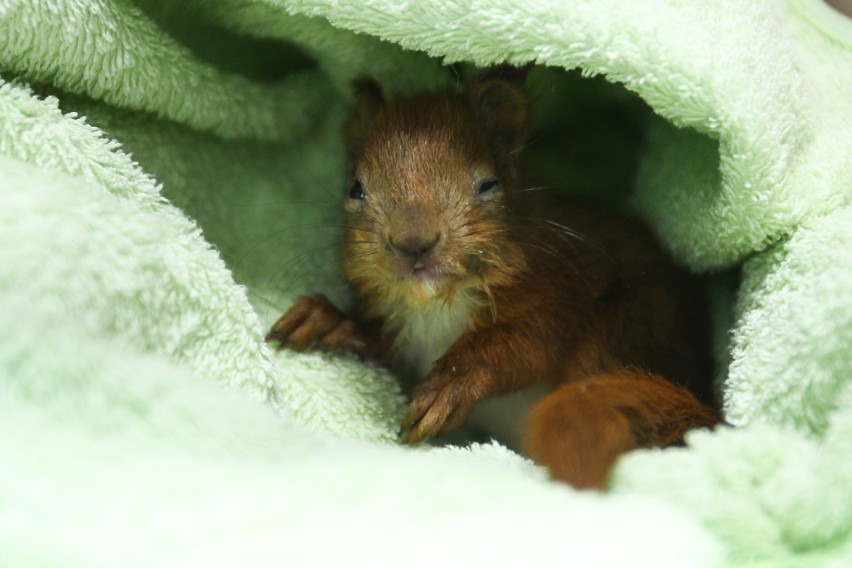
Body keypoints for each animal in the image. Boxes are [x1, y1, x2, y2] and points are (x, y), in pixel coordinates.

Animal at [268, 69, 720, 490]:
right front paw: (330, 320)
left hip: (628, 327)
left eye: (489, 184)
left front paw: (451, 385)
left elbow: (523, 344)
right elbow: (378, 340)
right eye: (355, 189)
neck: (437, 305)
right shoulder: (402, 324)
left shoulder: (564, 286)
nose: (414, 243)